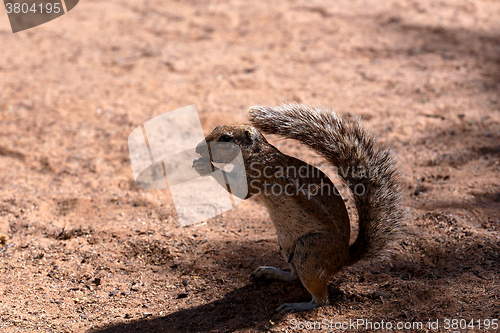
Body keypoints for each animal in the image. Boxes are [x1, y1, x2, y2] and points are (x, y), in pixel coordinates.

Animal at [193, 103, 404, 312]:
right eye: (215, 127)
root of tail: (343, 258)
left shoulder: (256, 174)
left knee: (320, 300)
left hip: (309, 251)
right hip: (286, 246)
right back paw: (269, 272)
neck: (256, 153)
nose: (198, 148)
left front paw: (206, 166)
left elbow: (238, 189)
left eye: (225, 138)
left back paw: (295, 305)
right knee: (294, 276)